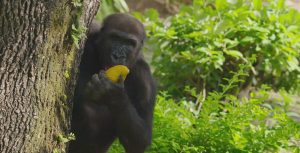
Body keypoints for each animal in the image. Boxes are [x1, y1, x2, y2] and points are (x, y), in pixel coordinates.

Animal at [68, 13, 157, 153]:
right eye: (115, 38)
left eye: (130, 43)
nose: (118, 56)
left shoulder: (145, 81)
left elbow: (140, 140)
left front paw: (114, 95)